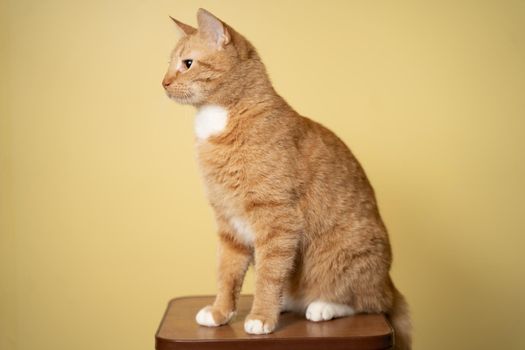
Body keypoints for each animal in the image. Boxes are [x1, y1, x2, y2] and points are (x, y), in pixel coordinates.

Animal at [162, 8, 412, 350]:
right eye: (169, 64)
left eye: (187, 63)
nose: (163, 82)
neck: (219, 120)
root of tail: (389, 282)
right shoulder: (228, 224)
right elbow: (227, 274)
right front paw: (220, 312)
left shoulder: (277, 220)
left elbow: (269, 275)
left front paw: (261, 317)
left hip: (346, 255)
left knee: (367, 302)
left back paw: (322, 306)